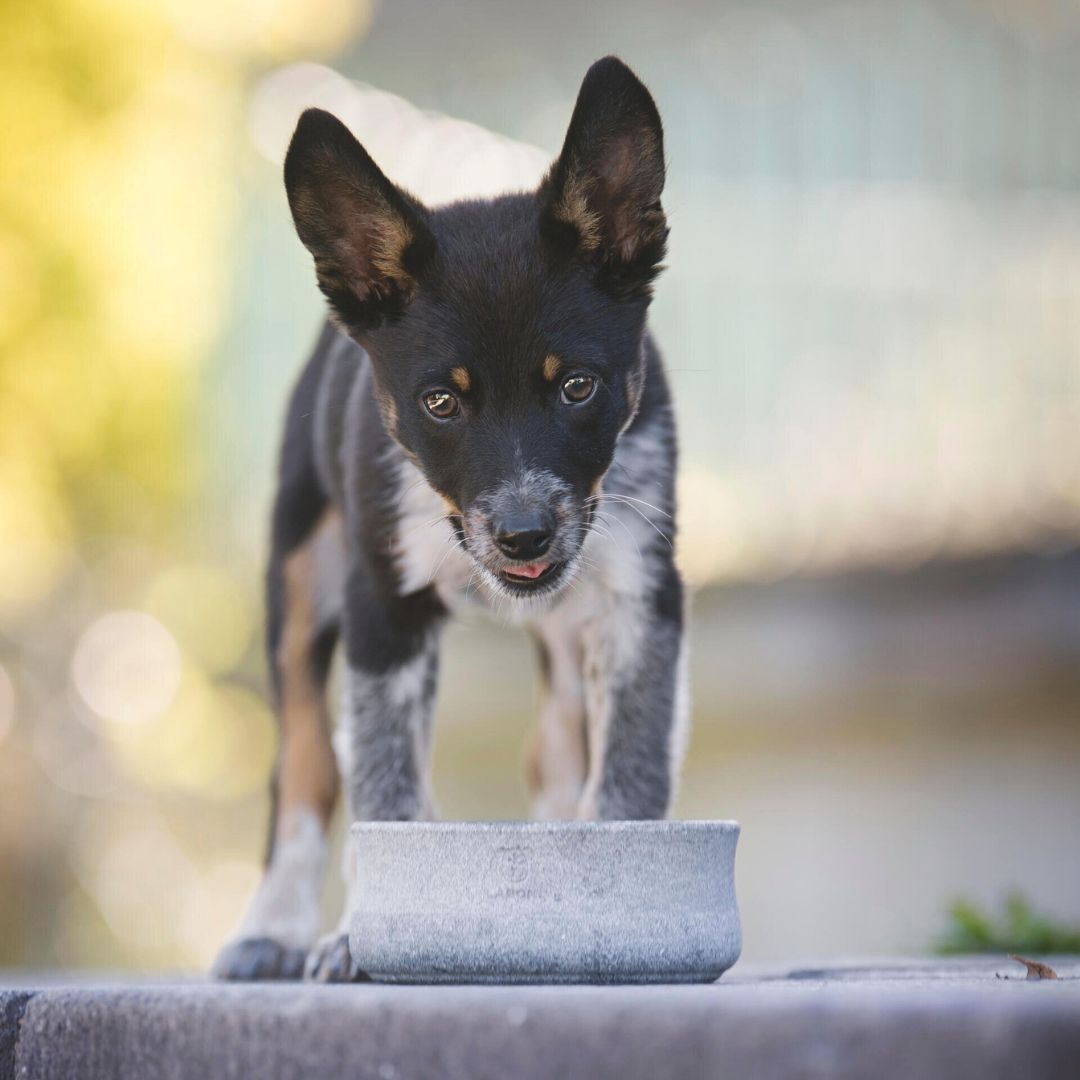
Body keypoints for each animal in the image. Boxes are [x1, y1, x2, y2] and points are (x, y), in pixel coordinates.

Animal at [212, 56, 682, 989]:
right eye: (440, 402)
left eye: (577, 387)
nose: (525, 535)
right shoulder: (382, 607)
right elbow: (384, 793)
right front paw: (359, 940)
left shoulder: (642, 592)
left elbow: (626, 770)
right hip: (299, 571)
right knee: (307, 762)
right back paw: (273, 927)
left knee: (554, 746)